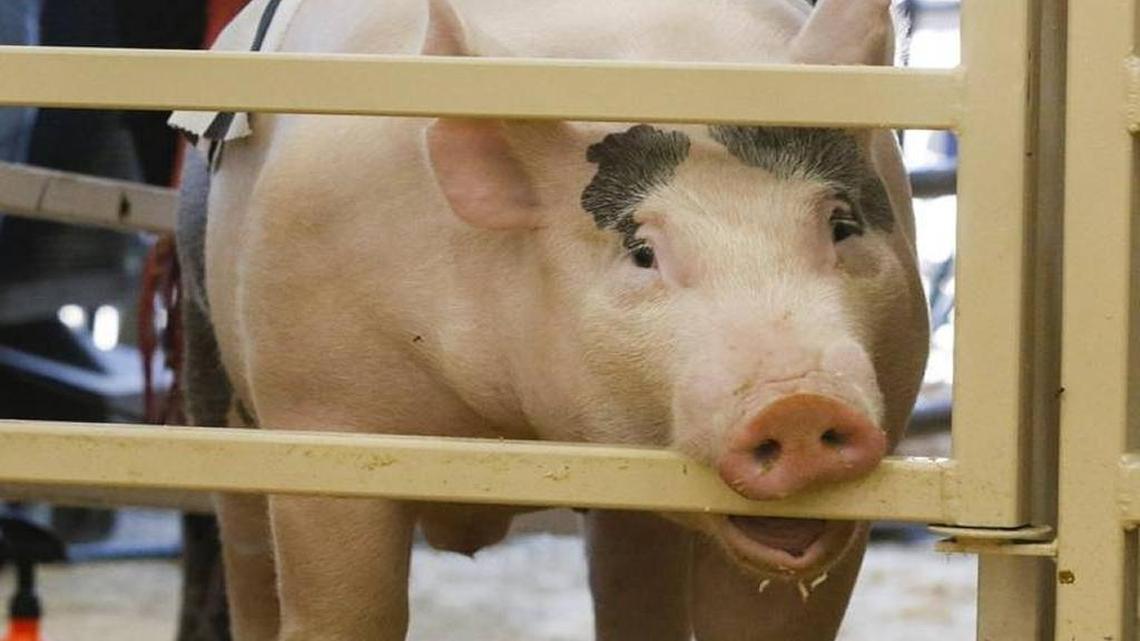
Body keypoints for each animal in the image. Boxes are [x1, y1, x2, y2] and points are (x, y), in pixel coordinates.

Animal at [176, 0, 929, 639]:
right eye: (641, 251)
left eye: (841, 225)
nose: (799, 402)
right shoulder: (319, 418)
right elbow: (343, 610)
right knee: (244, 551)